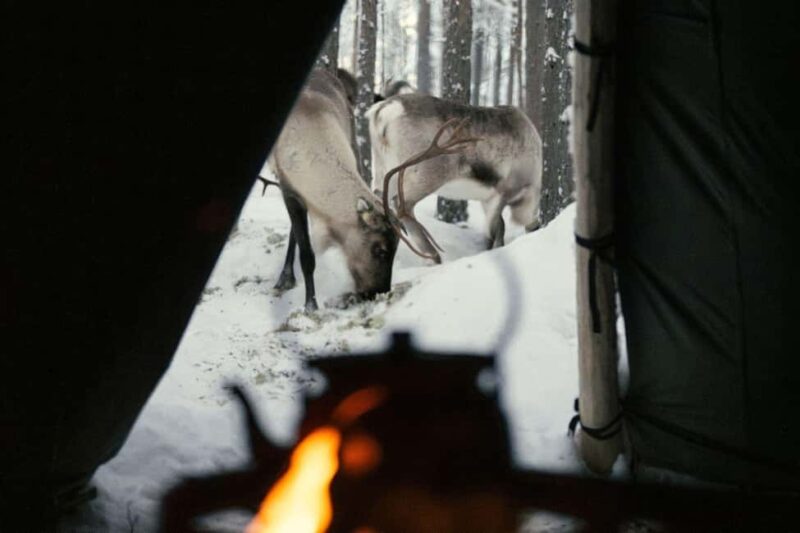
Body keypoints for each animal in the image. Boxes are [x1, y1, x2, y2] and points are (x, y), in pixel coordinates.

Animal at [264, 69, 478, 311]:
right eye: (380, 250)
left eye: (396, 250)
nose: (379, 291)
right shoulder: (288, 188)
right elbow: (307, 255)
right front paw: (311, 304)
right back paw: (285, 278)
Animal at [367, 94, 542, 264]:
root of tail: (384, 110)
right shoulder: (504, 191)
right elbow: (495, 232)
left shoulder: (488, 198)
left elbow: (500, 228)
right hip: (424, 173)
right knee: (401, 204)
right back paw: (434, 257)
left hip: (383, 168)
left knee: (377, 197)